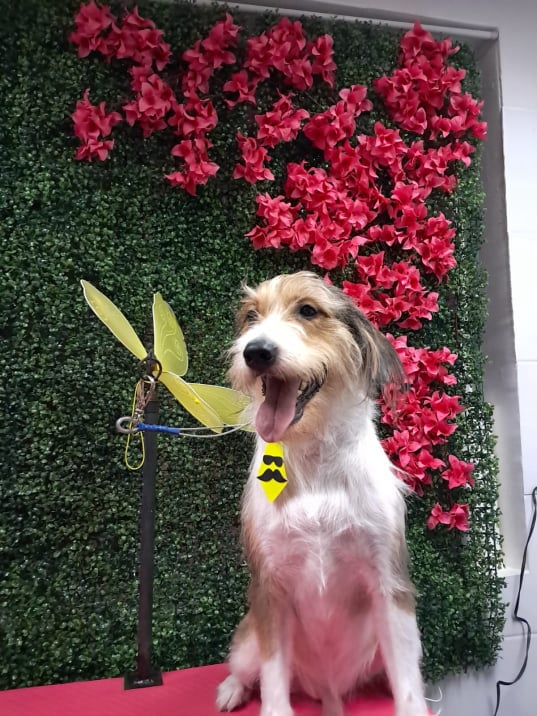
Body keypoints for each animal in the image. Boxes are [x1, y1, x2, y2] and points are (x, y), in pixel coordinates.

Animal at [216, 272, 428, 716]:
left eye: (308, 310)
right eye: (251, 317)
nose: (255, 351)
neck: (313, 458)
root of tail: (326, 690)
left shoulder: (389, 584)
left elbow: (408, 682)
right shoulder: (270, 589)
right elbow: (273, 683)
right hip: (249, 639)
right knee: (246, 670)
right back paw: (230, 689)